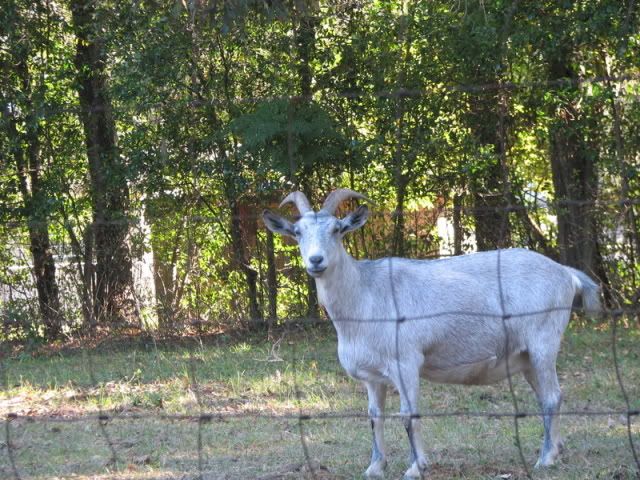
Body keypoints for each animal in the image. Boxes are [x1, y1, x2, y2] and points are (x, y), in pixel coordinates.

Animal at [263, 189, 601, 479]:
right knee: (547, 397)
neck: (364, 295)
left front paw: (416, 467)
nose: (316, 261)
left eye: (336, 229)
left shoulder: (406, 362)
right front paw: (375, 467)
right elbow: (374, 415)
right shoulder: (372, 376)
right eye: (297, 232)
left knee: (552, 397)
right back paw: (556, 450)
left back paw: (545, 459)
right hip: (526, 356)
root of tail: (566, 274)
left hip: (543, 342)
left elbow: (408, 415)